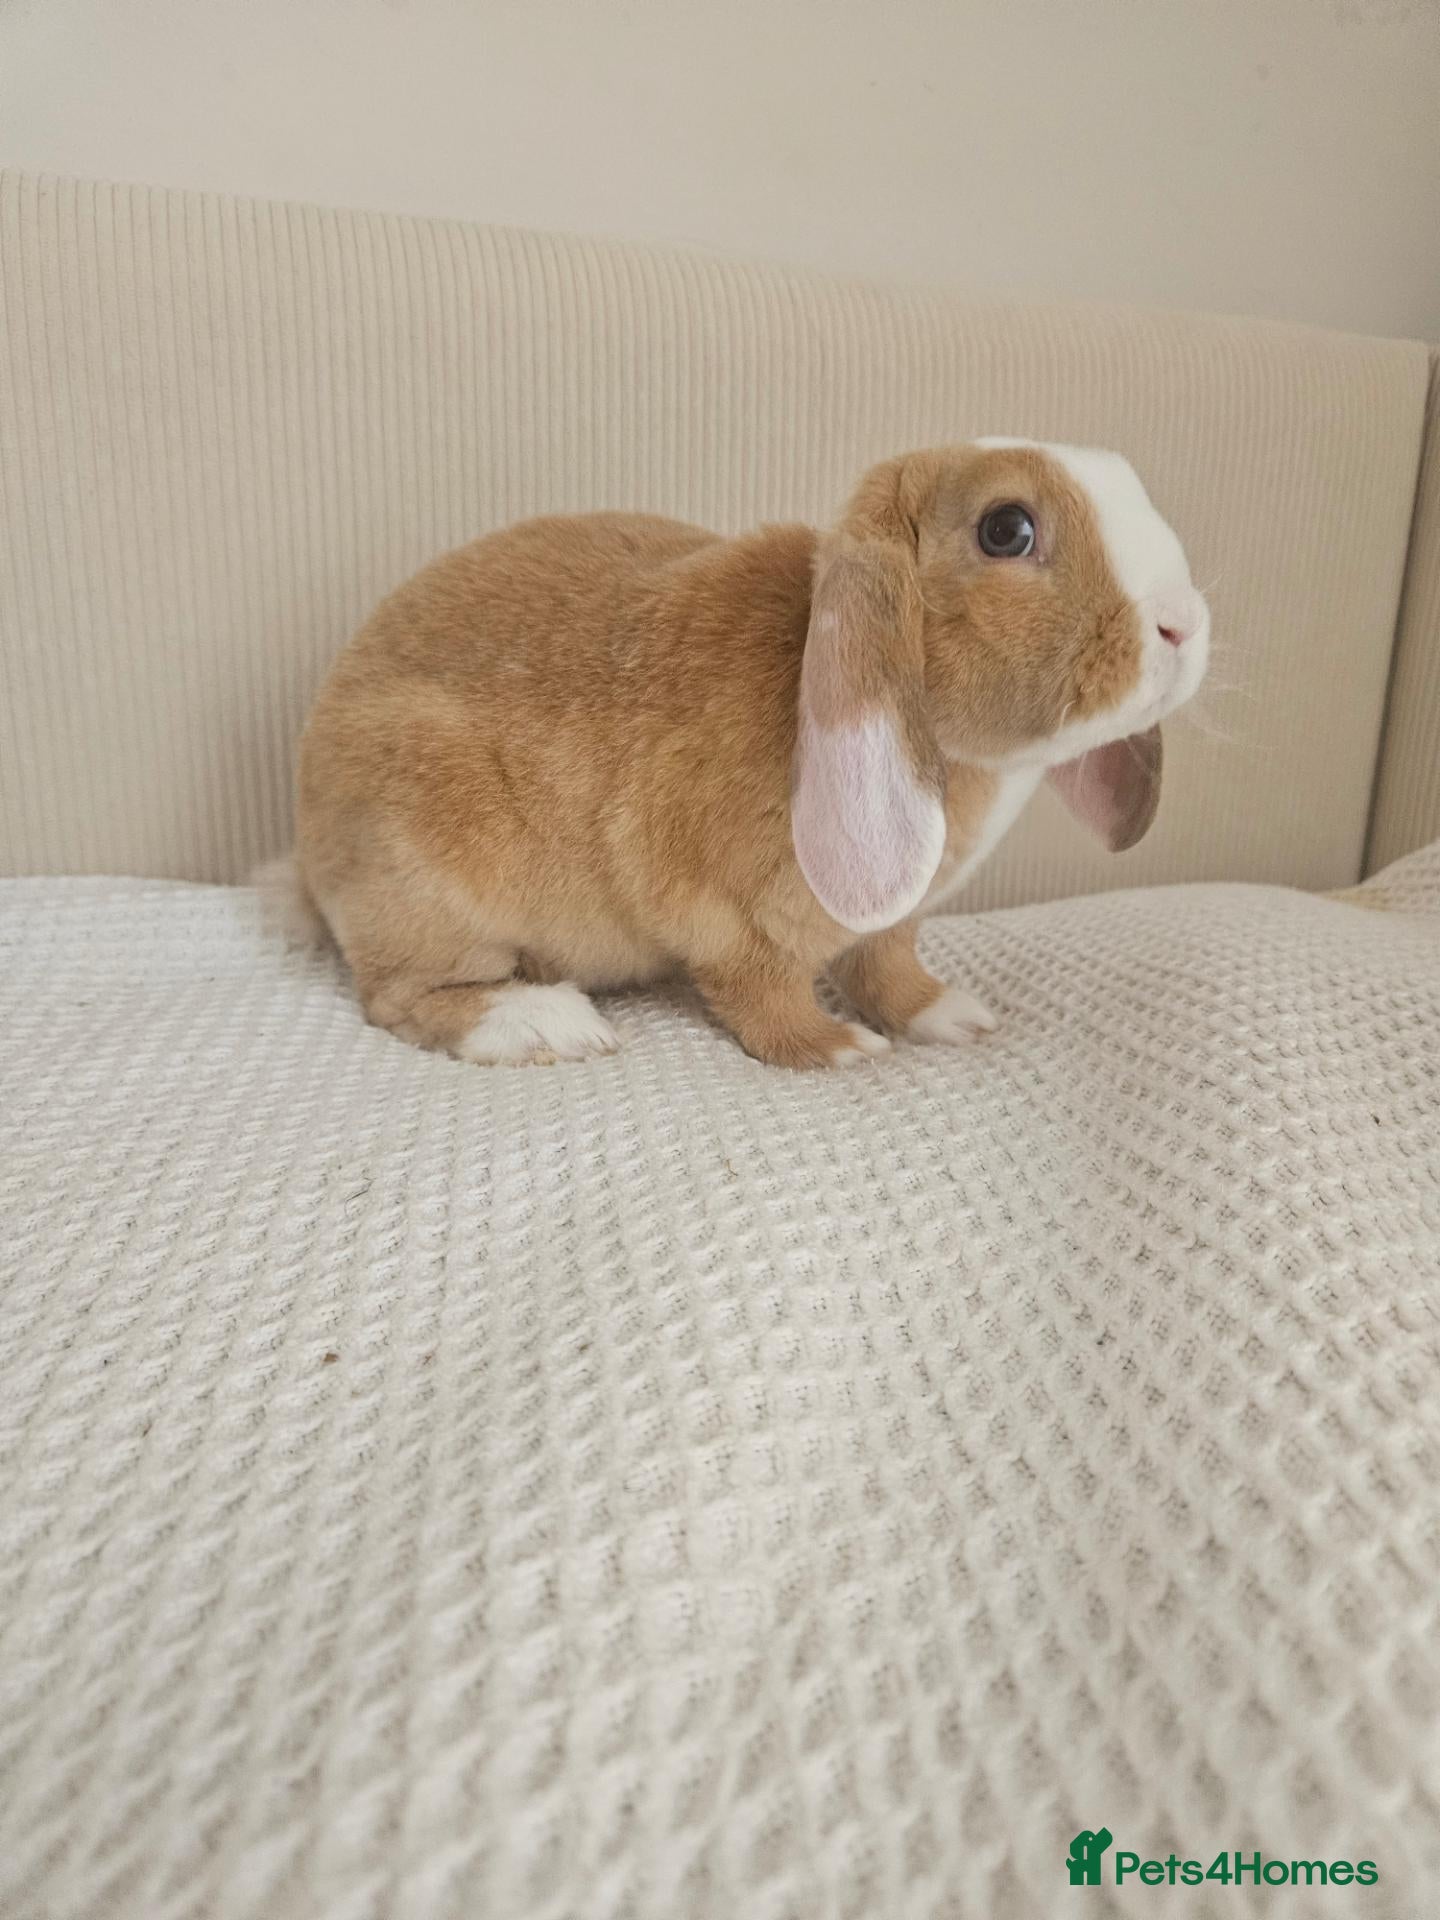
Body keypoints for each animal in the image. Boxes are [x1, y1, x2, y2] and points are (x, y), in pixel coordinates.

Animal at [288, 440, 1209, 1068]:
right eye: (1007, 528)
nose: (1185, 625)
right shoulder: (725, 915)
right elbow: (761, 992)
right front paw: (837, 1047)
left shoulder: (891, 922)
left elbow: (889, 968)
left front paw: (952, 1017)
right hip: (427, 875)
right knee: (399, 997)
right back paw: (547, 1023)